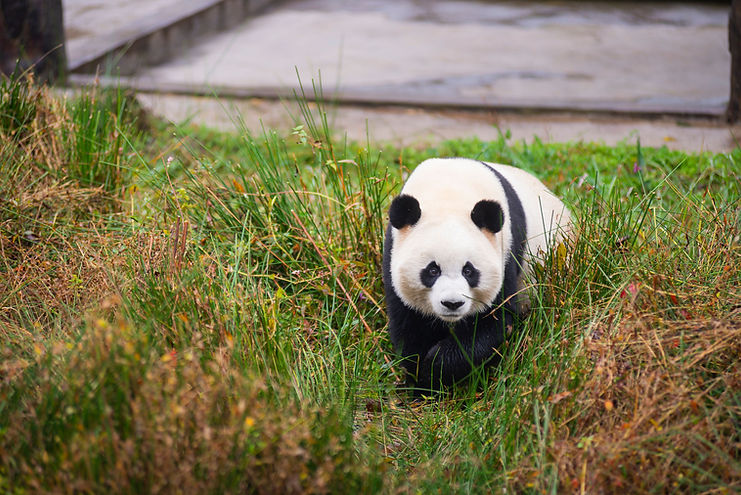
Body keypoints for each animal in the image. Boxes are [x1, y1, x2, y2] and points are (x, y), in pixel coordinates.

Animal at [382, 158, 571, 392]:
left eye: (469, 270)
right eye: (432, 270)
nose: (452, 303)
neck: (448, 193)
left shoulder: (505, 252)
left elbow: (493, 322)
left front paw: (436, 369)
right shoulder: (393, 251)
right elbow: (411, 325)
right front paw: (420, 381)